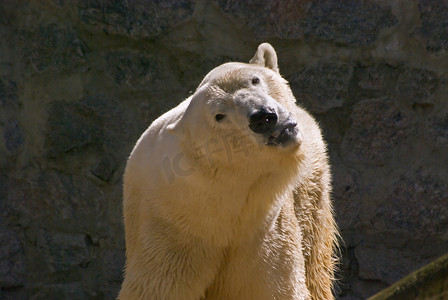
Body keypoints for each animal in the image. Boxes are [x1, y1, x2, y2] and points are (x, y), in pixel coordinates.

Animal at [118, 42, 336, 300]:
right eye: (219, 116)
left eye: (254, 80)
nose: (263, 117)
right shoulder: (170, 230)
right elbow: (155, 287)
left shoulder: (263, 229)